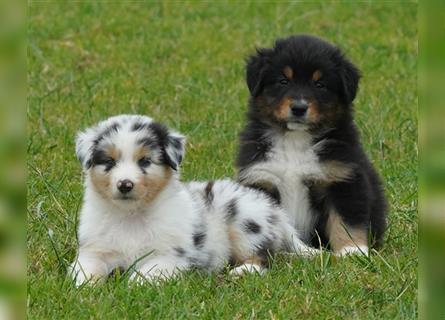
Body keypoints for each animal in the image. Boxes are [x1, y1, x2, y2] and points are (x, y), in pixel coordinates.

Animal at [68, 115, 316, 284]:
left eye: (145, 161)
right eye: (109, 162)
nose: (125, 184)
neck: (131, 215)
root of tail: (277, 212)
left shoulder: (170, 255)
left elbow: (146, 272)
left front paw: (134, 284)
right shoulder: (94, 249)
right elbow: (85, 269)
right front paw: (84, 285)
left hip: (245, 221)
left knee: (264, 258)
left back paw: (242, 271)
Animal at [236, 34, 386, 255]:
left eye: (320, 85)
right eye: (283, 81)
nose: (299, 108)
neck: (295, 141)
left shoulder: (342, 179)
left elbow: (346, 222)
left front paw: (351, 250)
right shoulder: (261, 177)